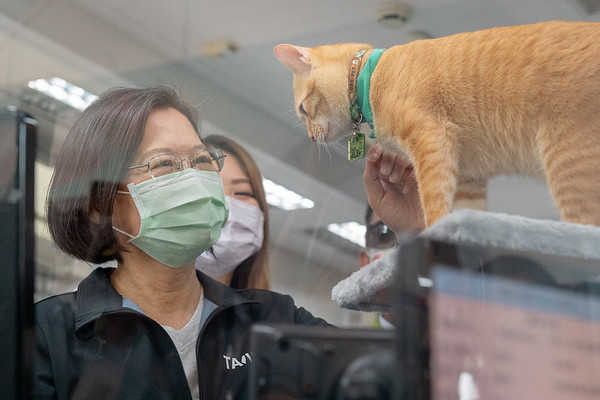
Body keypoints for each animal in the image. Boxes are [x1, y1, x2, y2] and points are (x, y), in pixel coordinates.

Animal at [276, 21, 600, 228]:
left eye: (302, 110)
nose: (311, 138)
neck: (370, 77)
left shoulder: (431, 141)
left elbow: (433, 204)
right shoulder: (469, 179)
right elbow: (462, 220)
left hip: (569, 167)